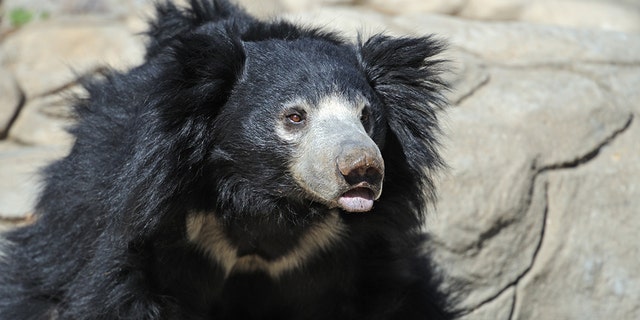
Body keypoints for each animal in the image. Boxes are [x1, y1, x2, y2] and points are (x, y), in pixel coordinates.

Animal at [0, 1, 450, 318]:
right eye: (295, 117)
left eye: (366, 116)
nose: (361, 169)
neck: (265, 198)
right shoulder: (150, 219)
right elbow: (116, 292)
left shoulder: (347, 252)